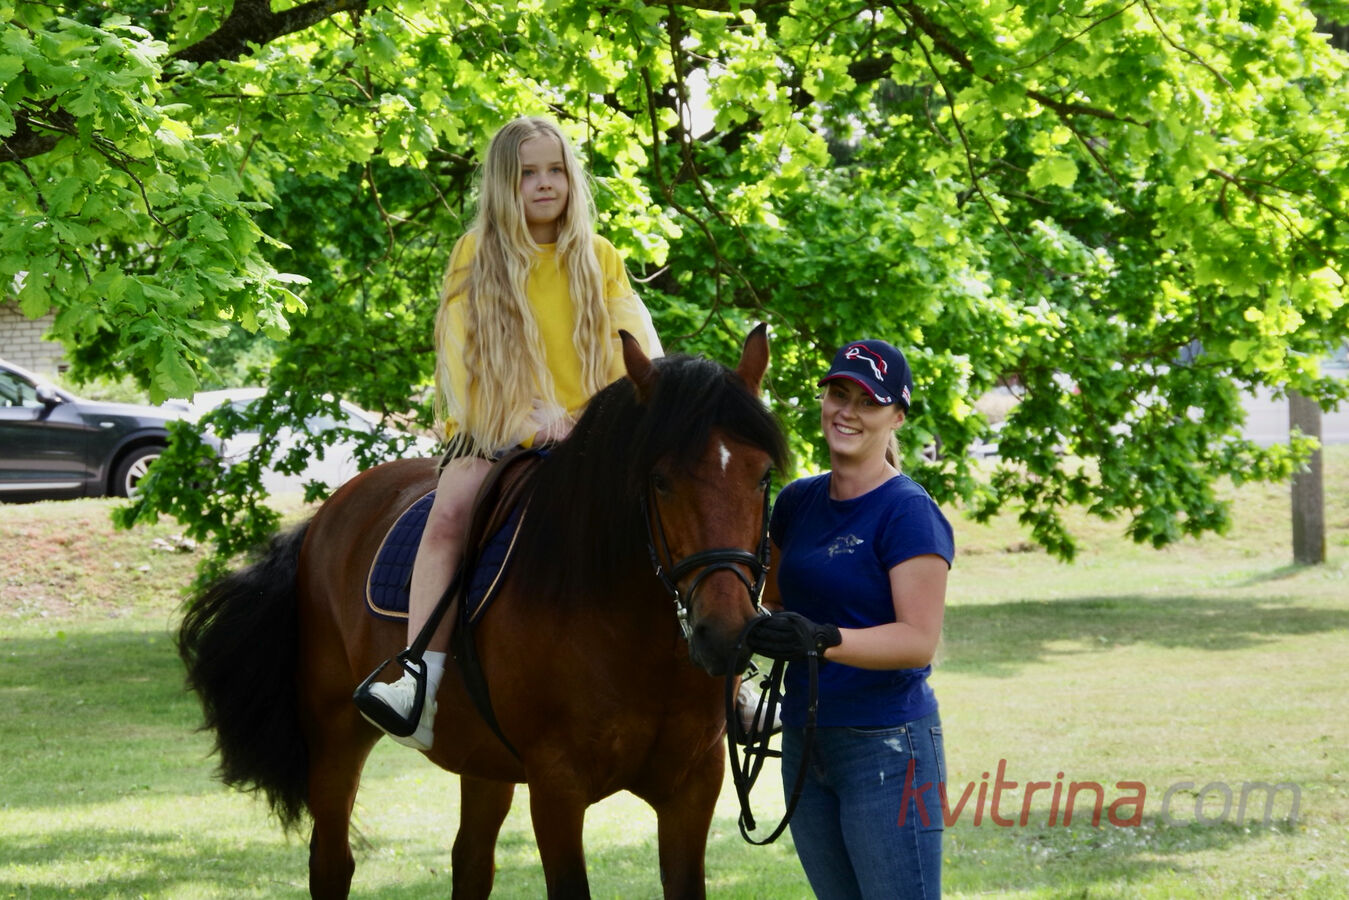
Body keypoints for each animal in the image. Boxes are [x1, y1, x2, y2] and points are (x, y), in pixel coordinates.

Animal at [176, 325, 788, 899]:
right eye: (659, 480)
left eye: (762, 476)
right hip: (334, 735)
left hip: (482, 761)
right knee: (332, 863)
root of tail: (325, 515)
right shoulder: (556, 788)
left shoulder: (693, 787)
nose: (726, 634)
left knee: (469, 864)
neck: (635, 642)